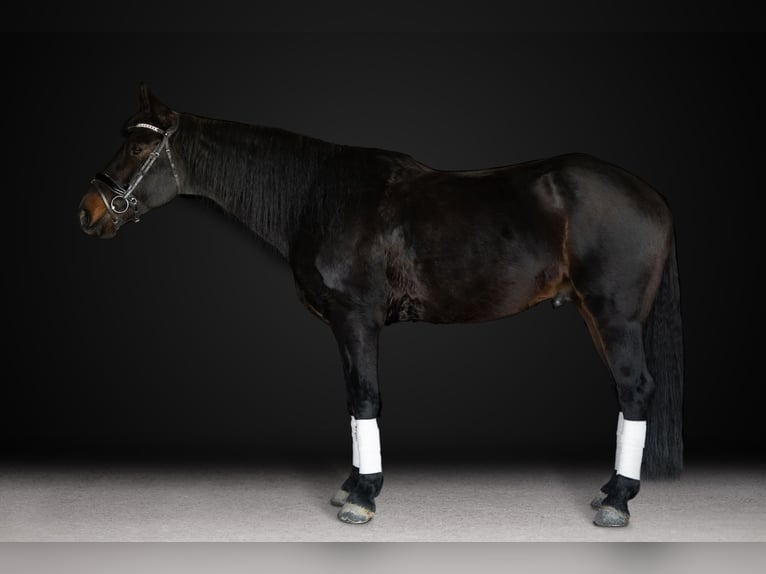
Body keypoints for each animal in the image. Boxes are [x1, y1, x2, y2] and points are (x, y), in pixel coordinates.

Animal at [77, 83, 683, 528]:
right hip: (592, 314)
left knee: (635, 390)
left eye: (138, 145)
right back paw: (608, 491)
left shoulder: (357, 320)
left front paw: (362, 497)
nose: (88, 211)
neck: (319, 196)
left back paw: (617, 501)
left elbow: (366, 396)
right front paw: (350, 483)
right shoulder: (343, 327)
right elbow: (352, 399)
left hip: (614, 316)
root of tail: (652, 195)